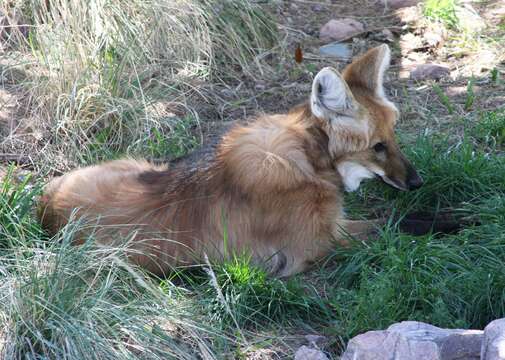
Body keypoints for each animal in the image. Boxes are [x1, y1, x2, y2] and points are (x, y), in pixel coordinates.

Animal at [39, 43, 422, 278]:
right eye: (378, 147)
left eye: (393, 136)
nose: (417, 182)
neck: (310, 158)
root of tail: (45, 204)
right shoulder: (321, 242)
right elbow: (397, 223)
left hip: (141, 166)